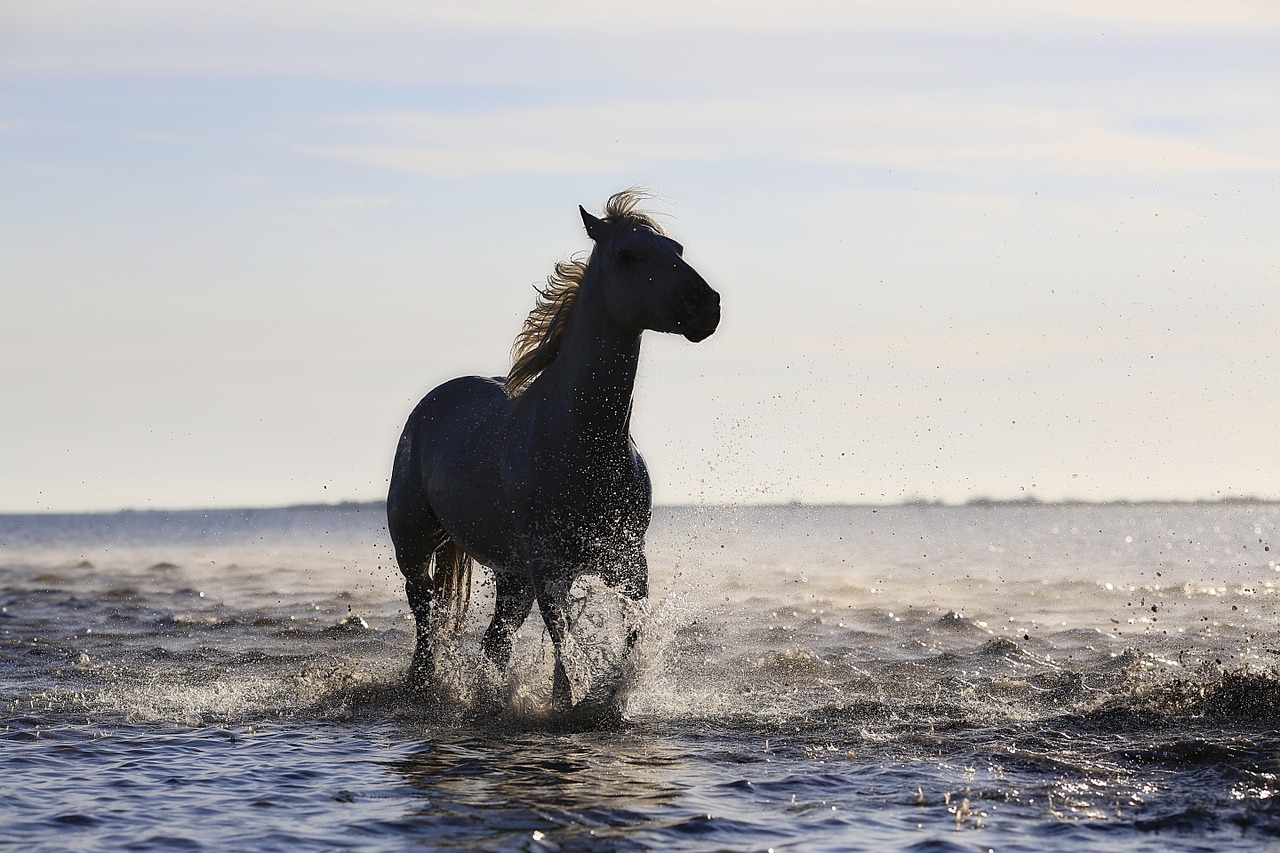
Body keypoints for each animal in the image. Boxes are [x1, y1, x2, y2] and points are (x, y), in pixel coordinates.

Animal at [386, 189, 721, 706]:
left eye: (677, 249)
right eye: (629, 254)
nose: (707, 306)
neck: (583, 445)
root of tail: (431, 403)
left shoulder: (628, 563)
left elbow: (628, 636)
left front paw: (606, 695)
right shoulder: (549, 568)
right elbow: (566, 642)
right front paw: (571, 702)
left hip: (512, 575)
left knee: (495, 642)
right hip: (416, 548)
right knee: (426, 620)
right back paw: (422, 685)